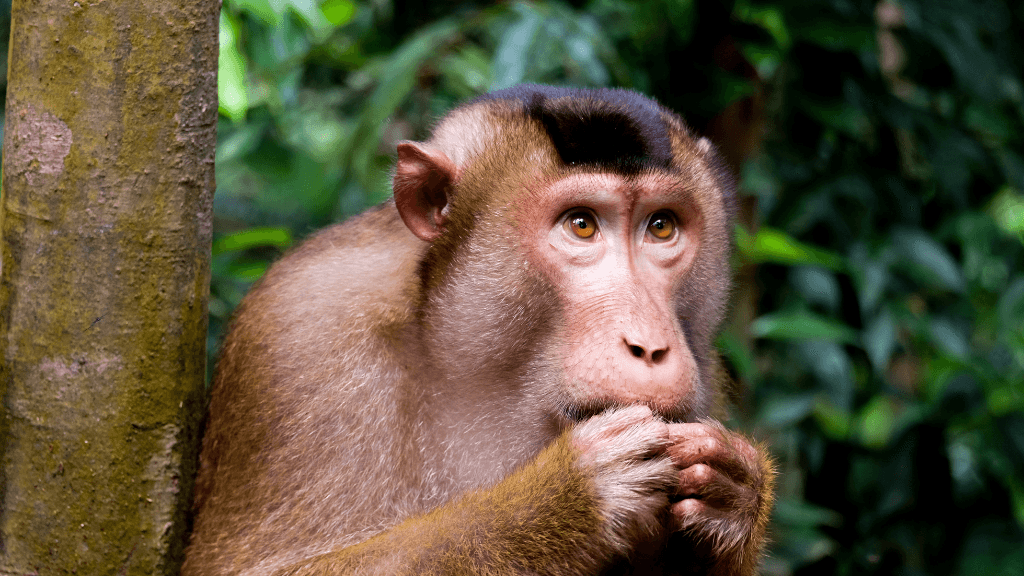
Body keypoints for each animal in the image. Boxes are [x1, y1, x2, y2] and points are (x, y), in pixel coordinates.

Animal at [182, 84, 775, 576]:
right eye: (581, 224)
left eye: (661, 226)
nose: (649, 347)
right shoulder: (299, 339)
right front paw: (567, 500)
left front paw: (737, 496)